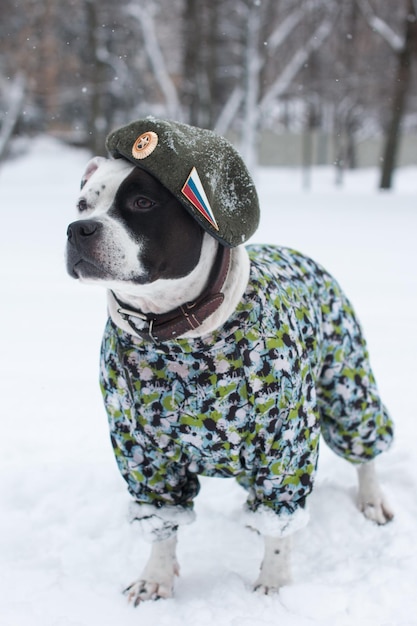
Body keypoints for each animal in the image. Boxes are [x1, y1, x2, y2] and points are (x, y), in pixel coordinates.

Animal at [65, 118, 394, 604]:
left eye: (142, 203)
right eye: (83, 203)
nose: (78, 228)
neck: (177, 332)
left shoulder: (286, 444)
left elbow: (280, 521)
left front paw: (273, 583)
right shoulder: (144, 455)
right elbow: (162, 523)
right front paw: (156, 578)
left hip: (346, 381)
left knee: (364, 447)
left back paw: (372, 501)